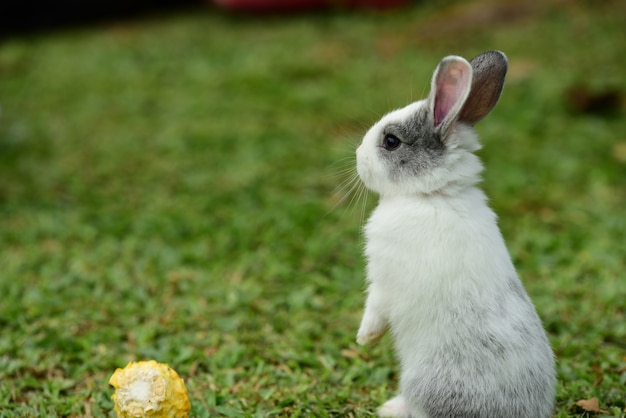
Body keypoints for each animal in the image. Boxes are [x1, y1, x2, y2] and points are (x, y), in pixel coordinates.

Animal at [354, 49, 552, 418]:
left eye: (391, 141)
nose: (359, 156)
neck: (433, 195)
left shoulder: (384, 281)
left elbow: (374, 307)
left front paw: (364, 338)